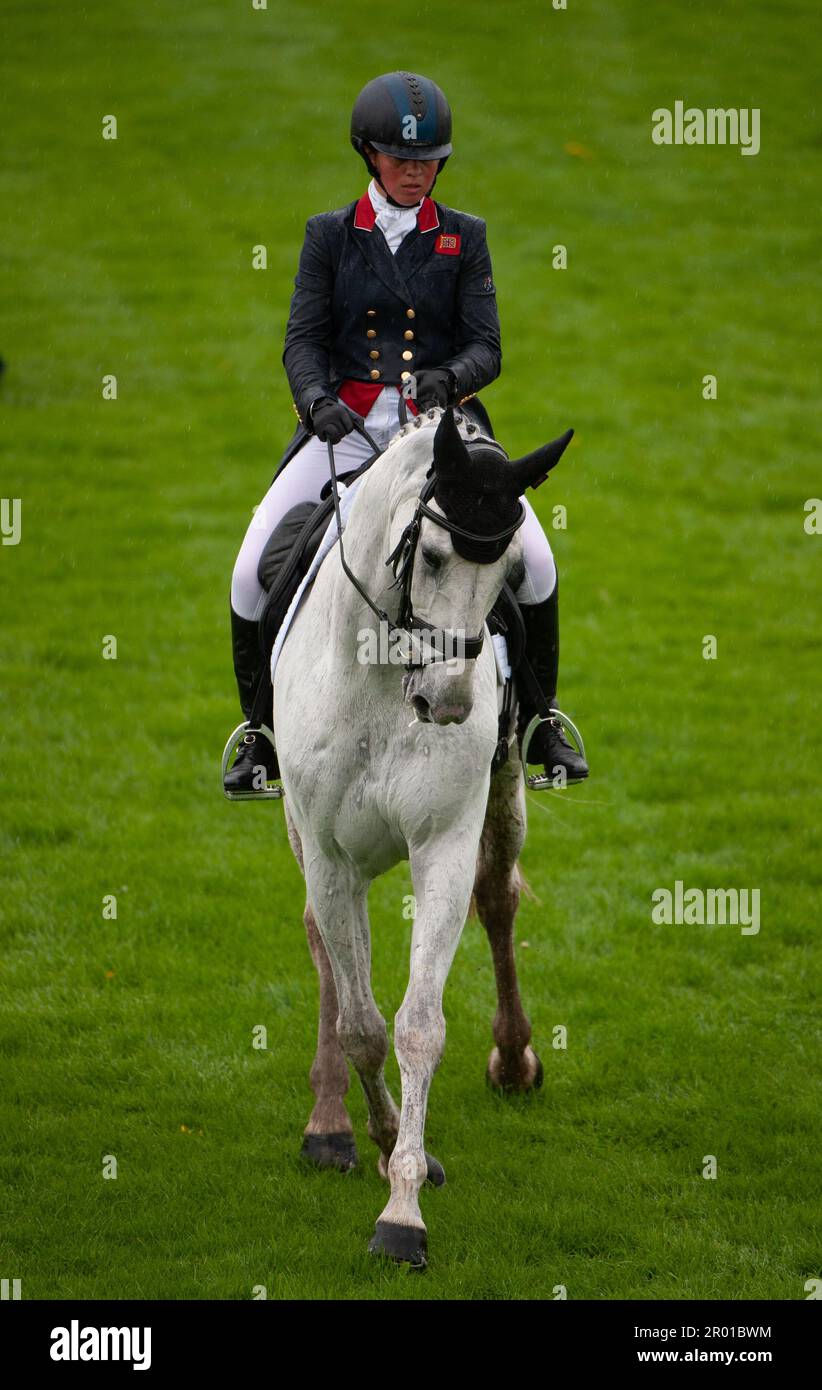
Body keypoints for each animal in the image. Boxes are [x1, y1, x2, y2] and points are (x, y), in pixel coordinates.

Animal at [275, 405, 573, 1273]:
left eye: (507, 569)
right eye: (433, 555)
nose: (447, 702)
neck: (383, 679)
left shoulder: (441, 843)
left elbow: (416, 1027)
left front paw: (402, 1207)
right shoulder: (329, 855)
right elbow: (362, 1024)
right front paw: (375, 1143)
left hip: (502, 793)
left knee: (497, 899)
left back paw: (514, 1059)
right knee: (321, 941)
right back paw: (328, 1125)